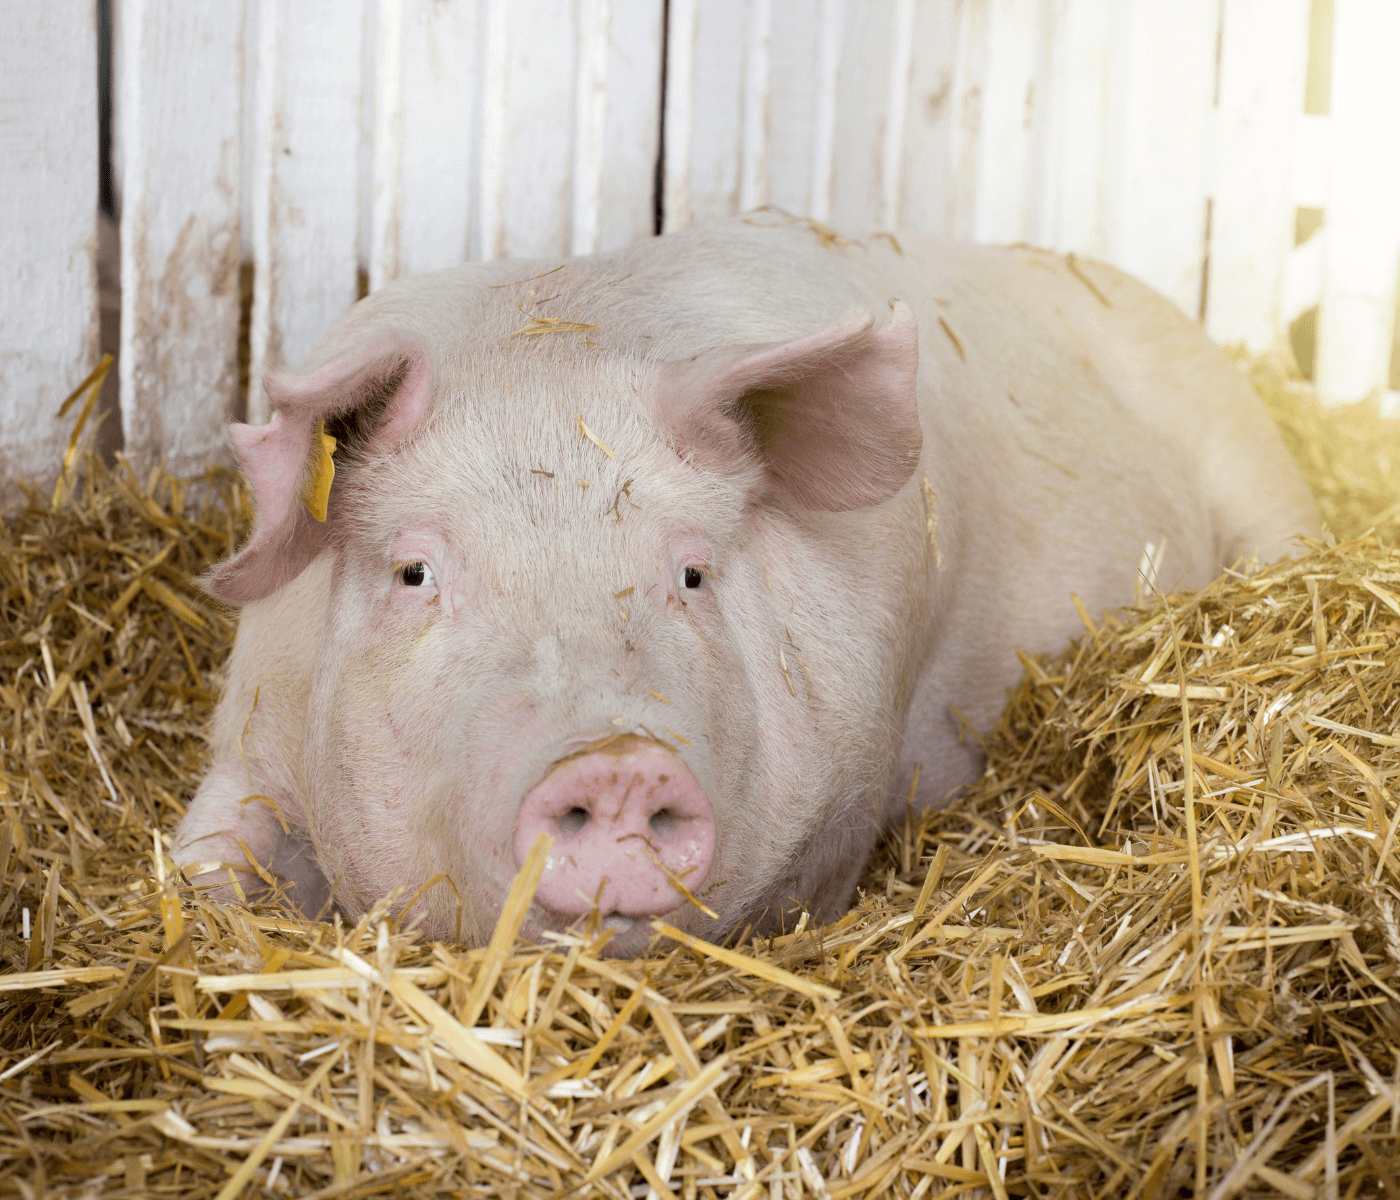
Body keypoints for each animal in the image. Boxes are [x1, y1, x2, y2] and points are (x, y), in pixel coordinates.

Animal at [169, 212, 1316, 957]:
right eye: (414, 572)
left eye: (691, 571)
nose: (615, 764)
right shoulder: (251, 729)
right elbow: (203, 865)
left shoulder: (854, 783)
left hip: (1257, 471)